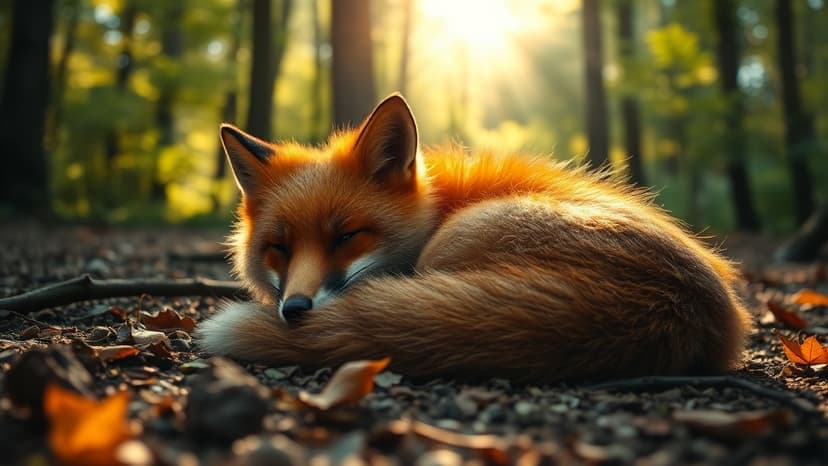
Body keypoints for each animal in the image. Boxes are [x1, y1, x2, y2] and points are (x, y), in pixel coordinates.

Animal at [195, 93, 753, 383]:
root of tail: (671, 305)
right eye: (279, 248)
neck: (439, 202)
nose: (295, 310)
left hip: (456, 241)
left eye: (348, 235)